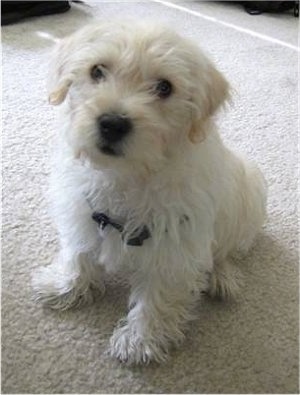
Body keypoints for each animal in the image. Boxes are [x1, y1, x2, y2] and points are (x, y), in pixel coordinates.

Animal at [32, 20, 268, 364]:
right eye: (97, 70)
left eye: (164, 87)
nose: (112, 123)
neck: (130, 173)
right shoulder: (84, 209)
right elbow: (78, 253)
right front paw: (64, 286)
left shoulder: (173, 245)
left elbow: (157, 297)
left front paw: (139, 341)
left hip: (248, 198)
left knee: (224, 251)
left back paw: (222, 277)